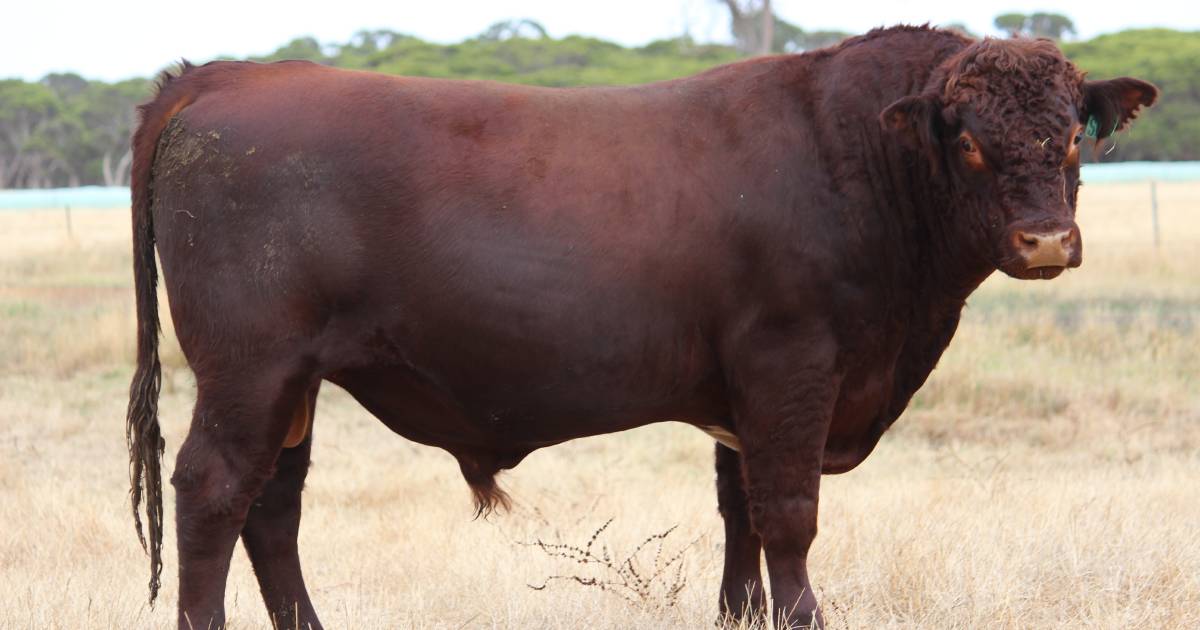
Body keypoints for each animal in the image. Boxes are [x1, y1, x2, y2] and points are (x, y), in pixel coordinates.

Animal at [126, 24, 1156, 624]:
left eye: (1074, 137)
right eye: (969, 141)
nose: (1046, 241)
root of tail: (223, 76)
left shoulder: (744, 390)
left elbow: (741, 513)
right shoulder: (791, 362)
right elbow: (788, 514)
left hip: (292, 382)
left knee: (274, 507)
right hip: (249, 367)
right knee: (214, 492)